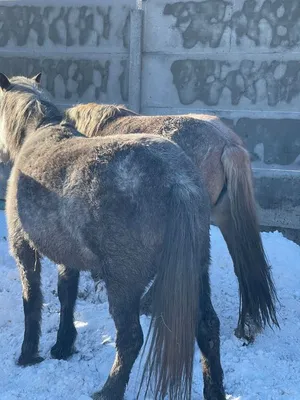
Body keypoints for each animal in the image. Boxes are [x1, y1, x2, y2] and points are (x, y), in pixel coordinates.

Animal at [0, 72, 225, 400]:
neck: (38, 136)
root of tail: (178, 180)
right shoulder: (68, 257)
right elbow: (66, 295)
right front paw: (63, 345)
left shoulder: (24, 249)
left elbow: (32, 299)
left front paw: (28, 353)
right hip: (197, 270)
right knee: (207, 327)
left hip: (123, 284)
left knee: (130, 339)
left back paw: (108, 390)